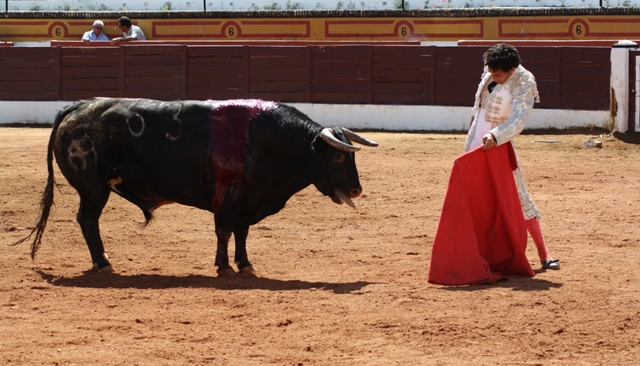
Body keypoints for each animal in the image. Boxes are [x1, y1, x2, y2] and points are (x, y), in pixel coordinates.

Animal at [17, 98, 378, 278]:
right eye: (337, 155)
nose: (357, 190)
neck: (266, 138)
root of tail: (77, 108)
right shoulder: (228, 196)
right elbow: (224, 230)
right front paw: (223, 266)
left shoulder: (248, 199)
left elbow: (241, 233)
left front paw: (245, 264)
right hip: (94, 188)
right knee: (88, 220)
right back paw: (104, 263)